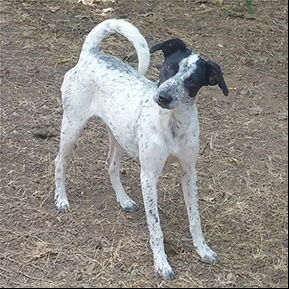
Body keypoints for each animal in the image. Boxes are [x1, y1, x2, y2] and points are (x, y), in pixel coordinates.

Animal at [54, 18, 227, 280]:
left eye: (192, 81)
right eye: (169, 67)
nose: (163, 97)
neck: (172, 123)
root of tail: (91, 54)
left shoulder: (189, 172)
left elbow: (195, 218)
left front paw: (203, 249)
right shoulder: (149, 176)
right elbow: (156, 227)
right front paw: (162, 263)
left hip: (118, 134)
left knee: (111, 165)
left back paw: (124, 200)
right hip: (72, 127)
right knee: (59, 162)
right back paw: (61, 199)